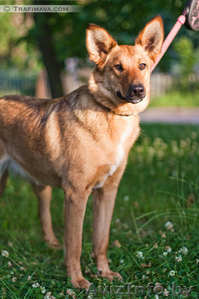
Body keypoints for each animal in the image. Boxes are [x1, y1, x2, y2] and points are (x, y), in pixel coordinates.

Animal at [0, 16, 163, 288]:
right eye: (118, 67)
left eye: (142, 66)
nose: (138, 90)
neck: (111, 115)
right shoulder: (76, 194)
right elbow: (75, 244)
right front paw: (76, 280)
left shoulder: (107, 192)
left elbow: (101, 240)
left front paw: (104, 273)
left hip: (39, 184)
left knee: (44, 215)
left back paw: (52, 244)